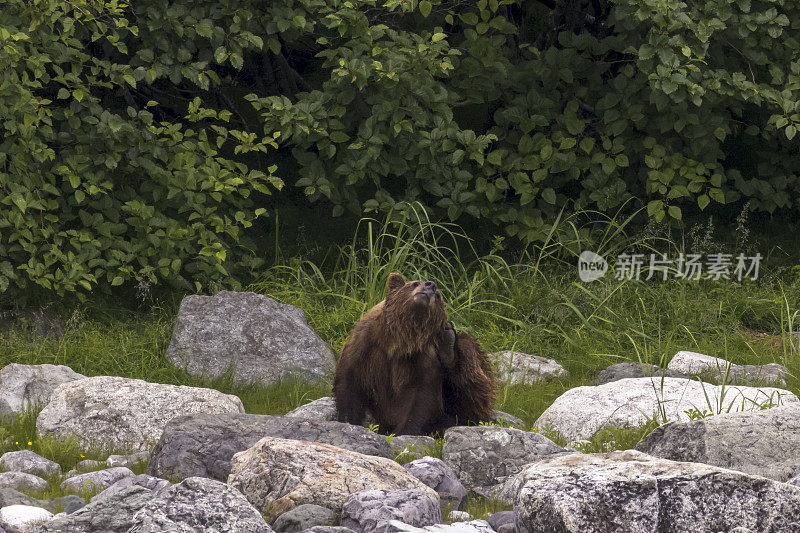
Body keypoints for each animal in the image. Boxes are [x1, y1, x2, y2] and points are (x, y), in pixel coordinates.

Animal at [332, 272, 494, 434]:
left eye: (438, 295)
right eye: (415, 283)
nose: (431, 285)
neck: (399, 341)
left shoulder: (422, 358)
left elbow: (421, 396)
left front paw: (405, 431)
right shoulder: (364, 344)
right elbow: (349, 383)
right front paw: (348, 420)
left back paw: (448, 345)